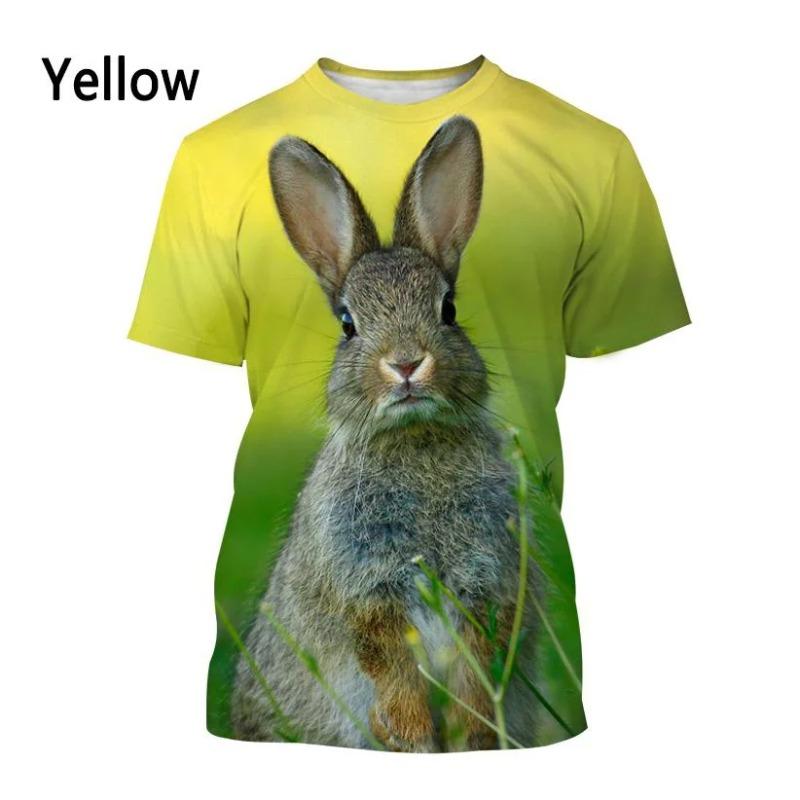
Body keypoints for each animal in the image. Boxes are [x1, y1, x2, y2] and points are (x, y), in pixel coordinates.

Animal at [231, 116, 538, 751]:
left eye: (448, 310)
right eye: (349, 324)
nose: (406, 364)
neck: (414, 440)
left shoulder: (487, 586)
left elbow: (476, 673)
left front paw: (473, 736)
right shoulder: (368, 593)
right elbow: (390, 671)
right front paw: (414, 739)